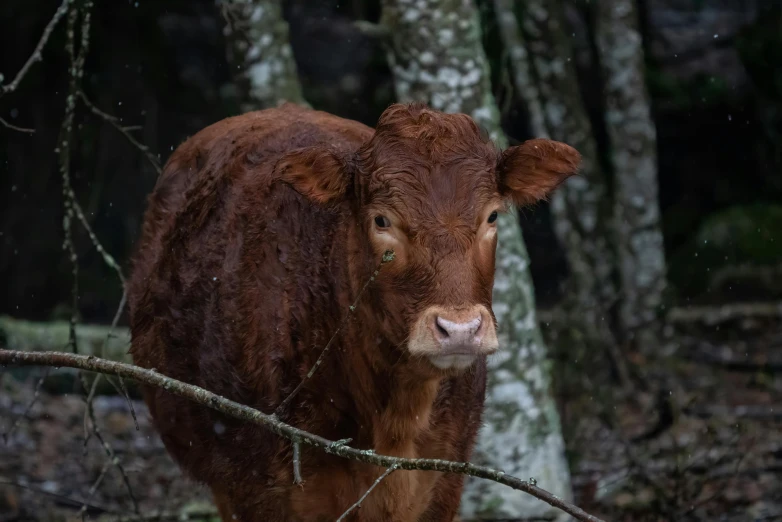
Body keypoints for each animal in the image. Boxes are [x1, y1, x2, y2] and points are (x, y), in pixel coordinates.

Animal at [129, 102, 580, 520]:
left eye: (492, 215)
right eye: (382, 220)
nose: (460, 329)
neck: (395, 422)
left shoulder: (445, 480)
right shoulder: (255, 490)